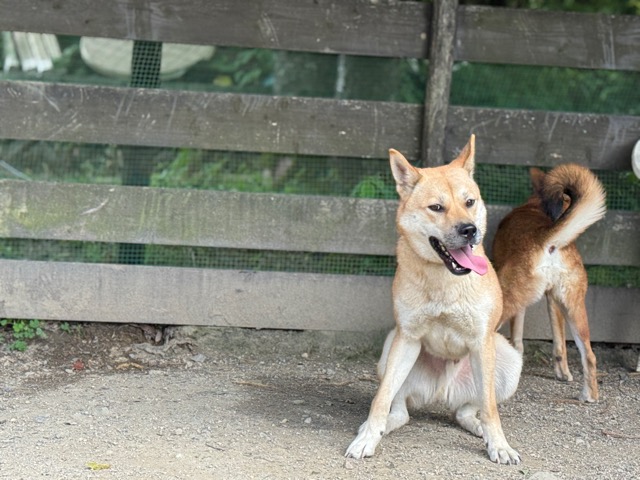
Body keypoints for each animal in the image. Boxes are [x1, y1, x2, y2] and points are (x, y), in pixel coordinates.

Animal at [345, 135, 522, 464]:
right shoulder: (407, 337)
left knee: (471, 409)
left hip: (507, 359)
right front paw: (367, 439)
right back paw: (379, 427)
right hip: (391, 349)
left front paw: (499, 445)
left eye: (469, 202)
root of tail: (441, 392)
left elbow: (490, 408)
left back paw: (479, 428)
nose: (469, 230)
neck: (445, 279)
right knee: (399, 410)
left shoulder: (481, 342)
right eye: (436, 207)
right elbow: (380, 399)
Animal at [492, 164, 606, 403]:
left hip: (506, 299)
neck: (535, 207)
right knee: (590, 355)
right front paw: (563, 374)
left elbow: (517, 341)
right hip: (575, 310)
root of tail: (549, 241)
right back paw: (589, 396)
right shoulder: (553, 301)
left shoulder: (523, 308)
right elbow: (559, 345)